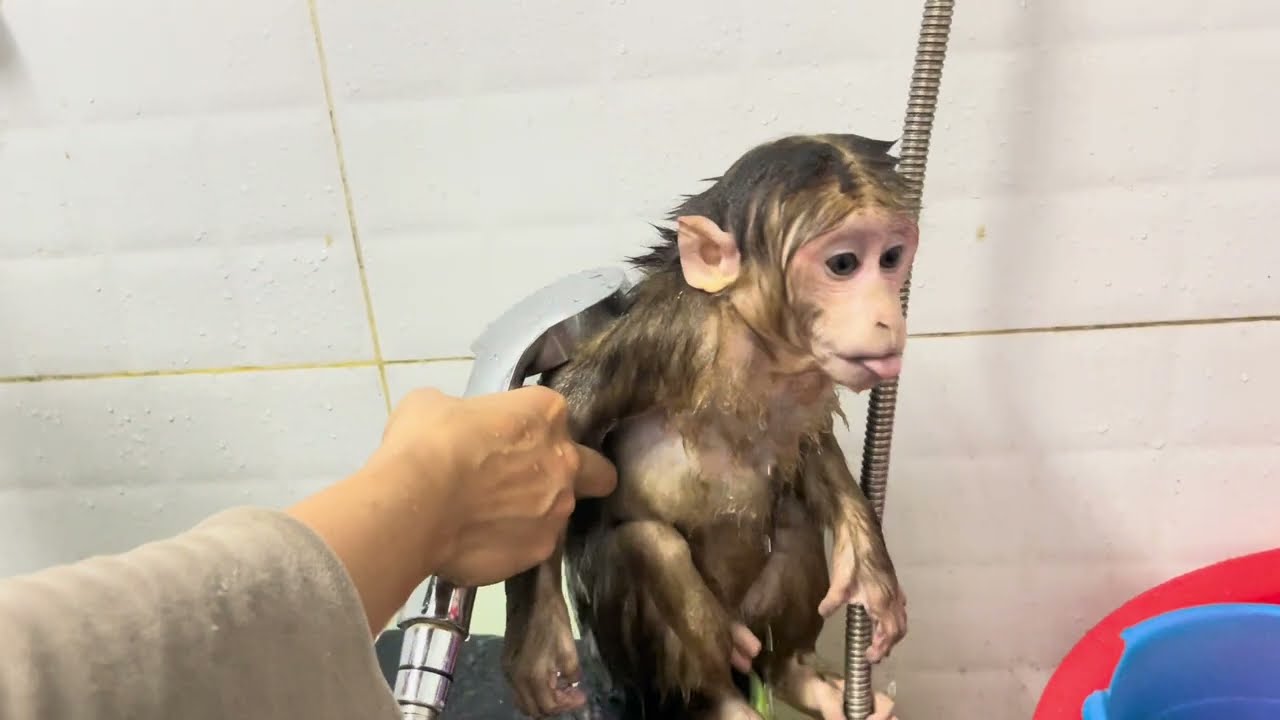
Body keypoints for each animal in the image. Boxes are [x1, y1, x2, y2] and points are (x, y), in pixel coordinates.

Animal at [500, 133, 915, 720]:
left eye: (891, 259)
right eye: (843, 263)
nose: (887, 316)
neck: (757, 346)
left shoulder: (809, 378)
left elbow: (810, 445)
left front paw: (869, 571)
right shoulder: (671, 337)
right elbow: (566, 421)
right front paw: (537, 636)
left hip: (754, 622)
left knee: (792, 522)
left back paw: (795, 677)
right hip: (651, 673)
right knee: (648, 547)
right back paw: (720, 702)